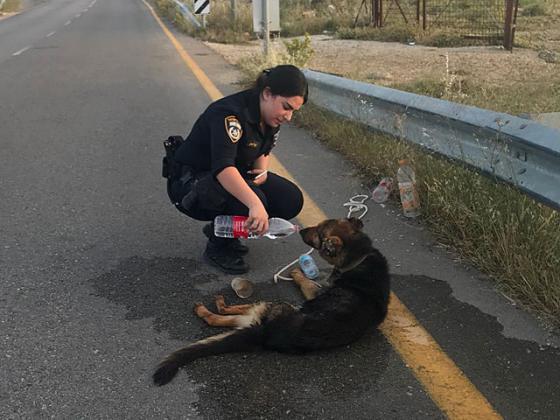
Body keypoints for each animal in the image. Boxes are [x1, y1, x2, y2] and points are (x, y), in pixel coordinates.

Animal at [152, 218, 390, 386]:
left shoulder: (315, 292)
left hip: (273, 305)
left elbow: (306, 282)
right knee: (224, 319)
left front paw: (297, 272)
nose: (301, 230)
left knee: (220, 314)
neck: (360, 256)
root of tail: (267, 333)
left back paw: (208, 306)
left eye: (319, 233)